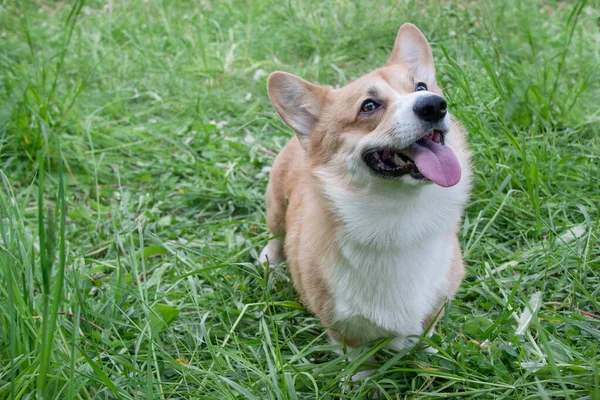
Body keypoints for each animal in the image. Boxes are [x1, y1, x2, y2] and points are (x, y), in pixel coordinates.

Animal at [260, 23, 472, 356]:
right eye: (369, 106)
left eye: (421, 87)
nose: (434, 105)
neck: (400, 215)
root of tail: (298, 138)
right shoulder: (343, 331)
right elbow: (357, 358)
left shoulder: (434, 309)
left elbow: (426, 338)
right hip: (275, 207)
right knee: (275, 234)